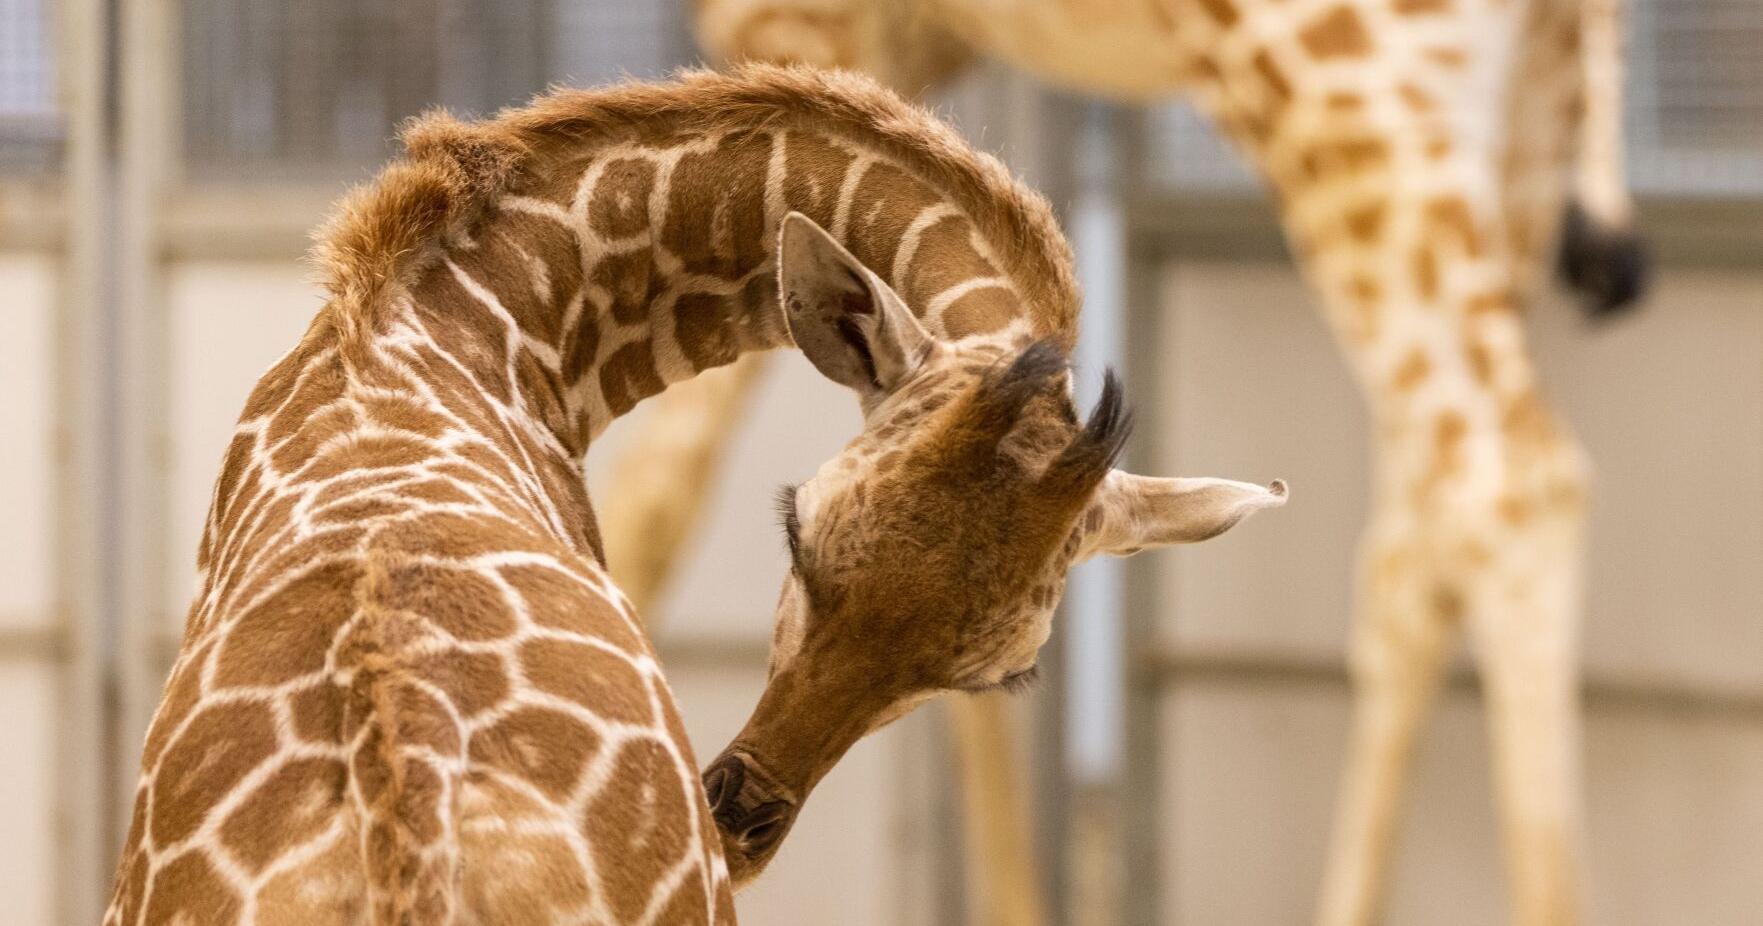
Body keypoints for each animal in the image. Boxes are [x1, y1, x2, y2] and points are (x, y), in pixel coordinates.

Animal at [691, 1, 1650, 924]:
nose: (736, 825)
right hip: (1524, 123)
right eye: (798, 543)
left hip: (1349, 97)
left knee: (1510, 477)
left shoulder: (790, 28)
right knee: (1417, 543)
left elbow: (676, 468)